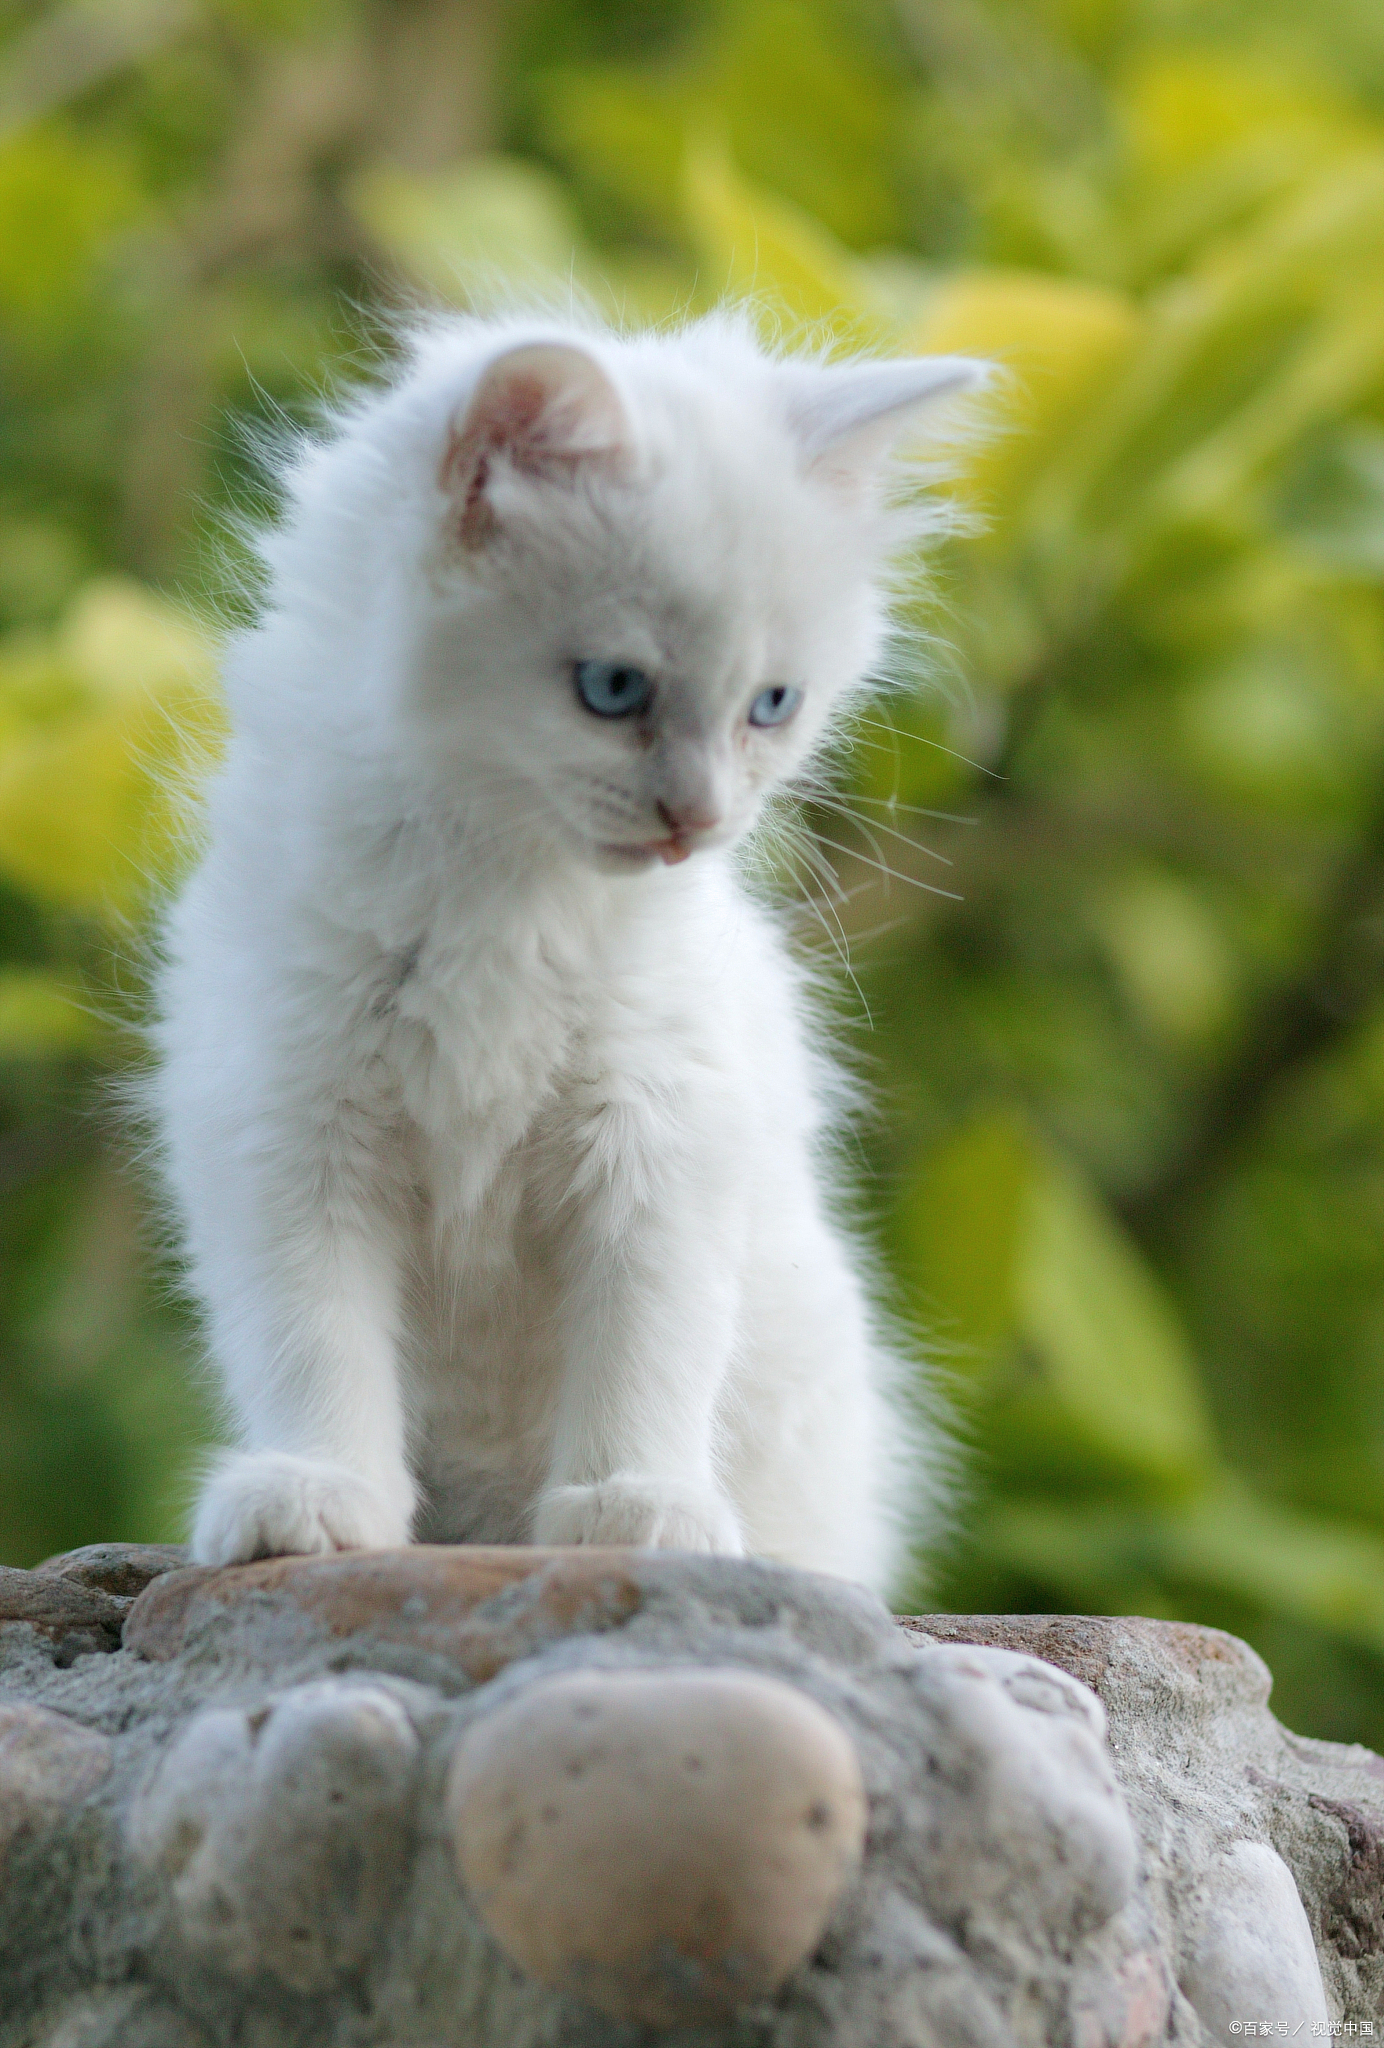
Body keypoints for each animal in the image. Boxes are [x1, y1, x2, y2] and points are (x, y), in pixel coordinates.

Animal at [154, 311, 982, 1589]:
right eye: (613, 686)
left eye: (772, 704)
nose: (699, 820)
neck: (506, 893)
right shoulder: (287, 1125)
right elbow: (313, 1339)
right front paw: (319, 1495)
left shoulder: (660, 1136)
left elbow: (647, 1343)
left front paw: (635, 1506)